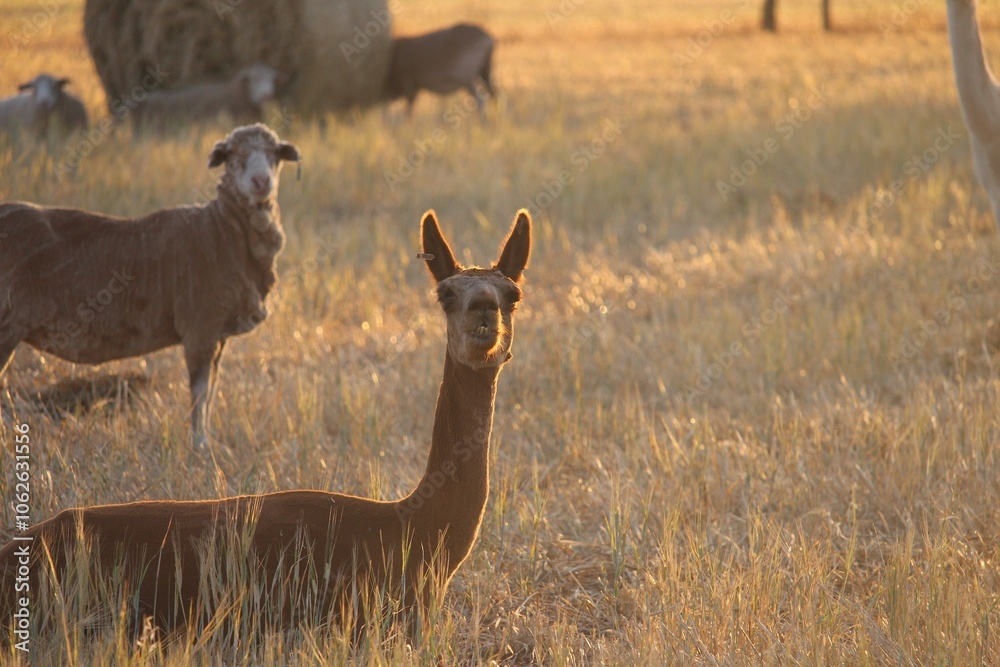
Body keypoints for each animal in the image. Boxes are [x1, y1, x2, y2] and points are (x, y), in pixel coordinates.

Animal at [0, 123, 301, 449]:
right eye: (234, 156)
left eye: (274, 155)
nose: (261, 181)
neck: (222, 229)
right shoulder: (200, 327)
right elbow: (199, 393)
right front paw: (199, 447)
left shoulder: (218, 335)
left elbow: (210, 392)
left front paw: (207, 443)